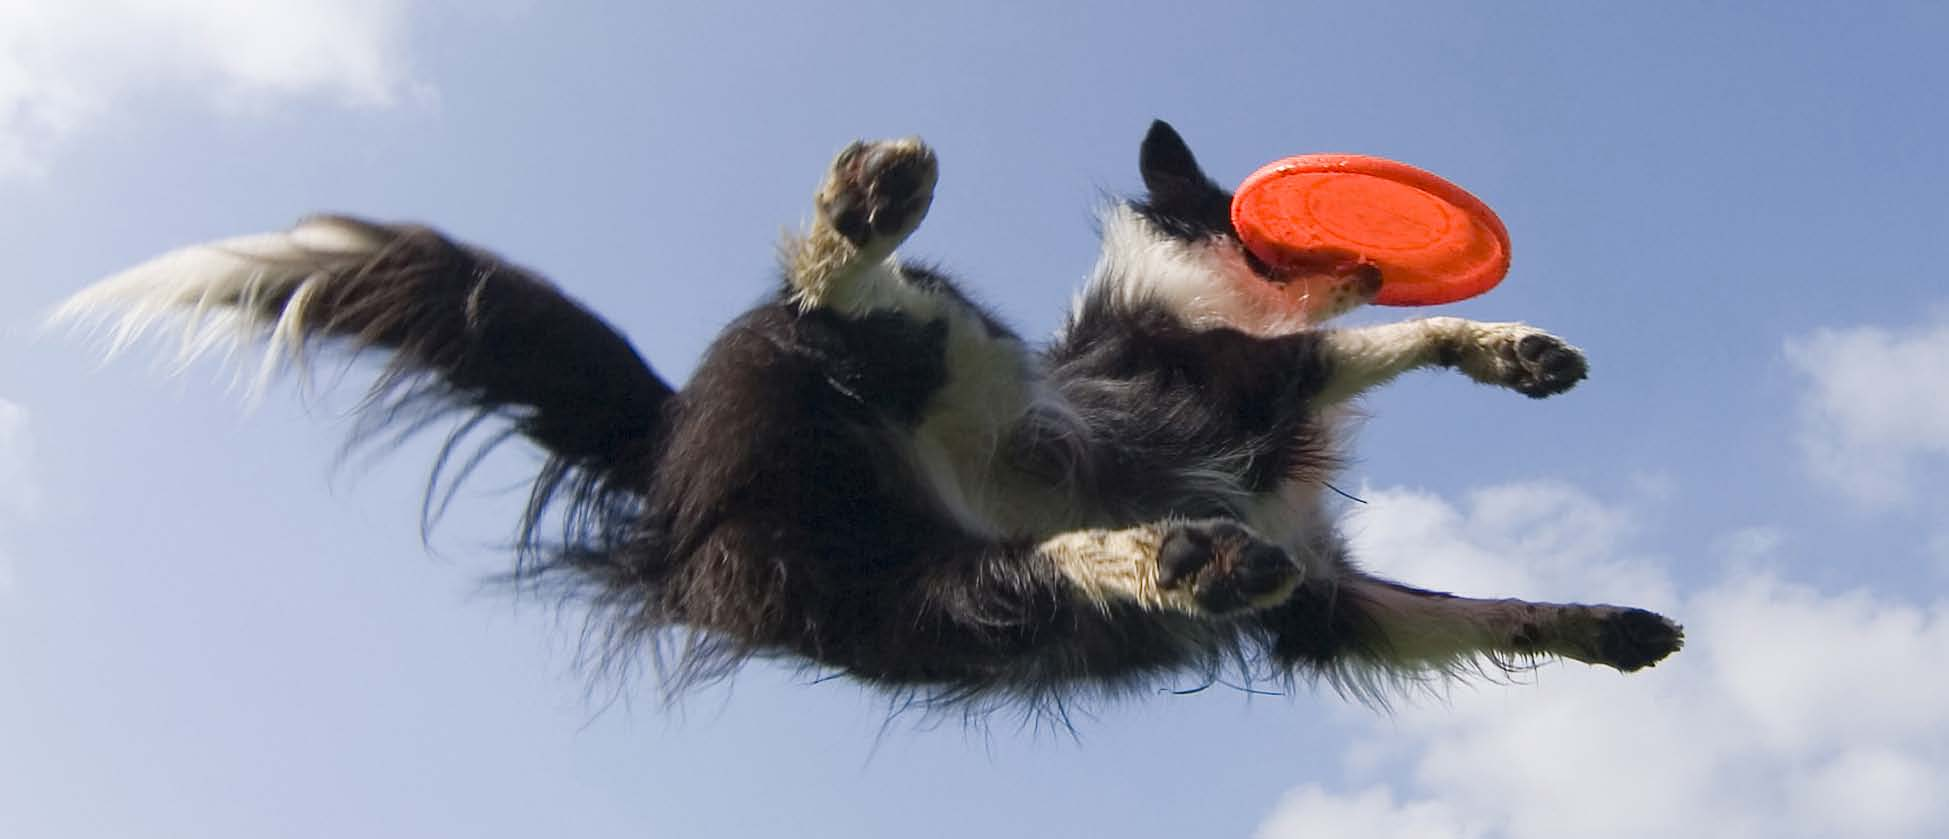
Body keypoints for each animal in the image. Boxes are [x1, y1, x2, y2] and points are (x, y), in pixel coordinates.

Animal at [53, 122, 1683, 714]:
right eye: (1234, 200)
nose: (1355, 241)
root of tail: (666, 443)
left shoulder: (1331, 598)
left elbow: (1470, 607)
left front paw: (1608, 622)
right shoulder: (1219, 378)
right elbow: (1365, 344)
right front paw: (1499, 343)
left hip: (901, 600)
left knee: (1025, 575)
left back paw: (1184, 558)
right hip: (916, 364)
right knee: (852, 296)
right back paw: (866, 209)